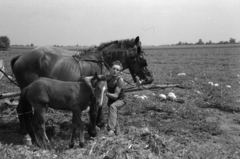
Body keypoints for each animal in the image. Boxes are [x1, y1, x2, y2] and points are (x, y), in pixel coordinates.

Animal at [10, 36, 154, 145]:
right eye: (142, 58)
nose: (150, 78)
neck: (99, 62)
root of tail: (20, 57)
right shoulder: (94, 91)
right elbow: (95, 111)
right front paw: (93, 131)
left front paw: (94, 128)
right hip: (25, 88)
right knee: (21, 109)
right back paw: (26, 136)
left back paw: (31, 135)